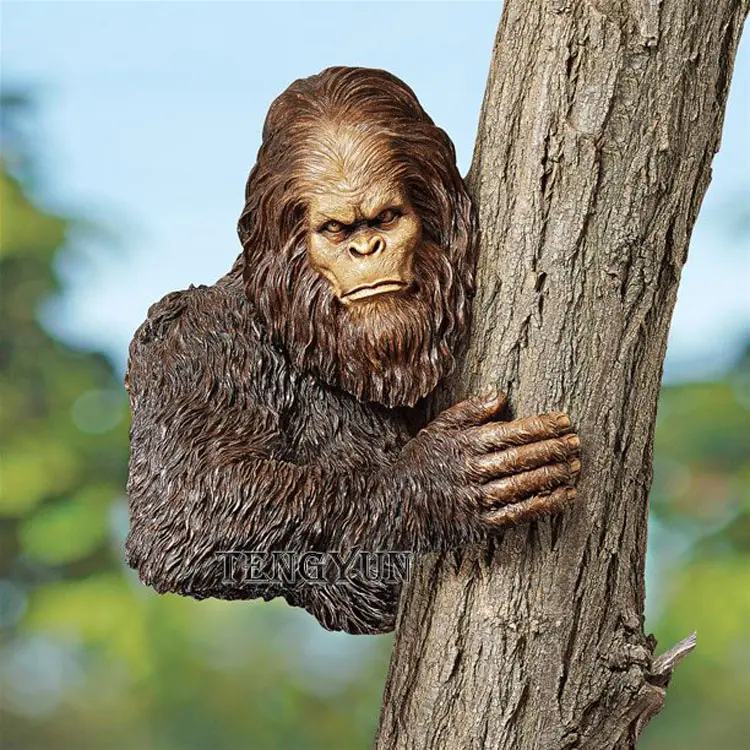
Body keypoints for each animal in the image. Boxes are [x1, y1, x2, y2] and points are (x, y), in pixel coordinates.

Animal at [125, 66, 580, 635]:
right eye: (336, 229)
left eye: (385, 218)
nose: (365, 249)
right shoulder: (193, 347)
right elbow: (184, 511)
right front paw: (435, 480)